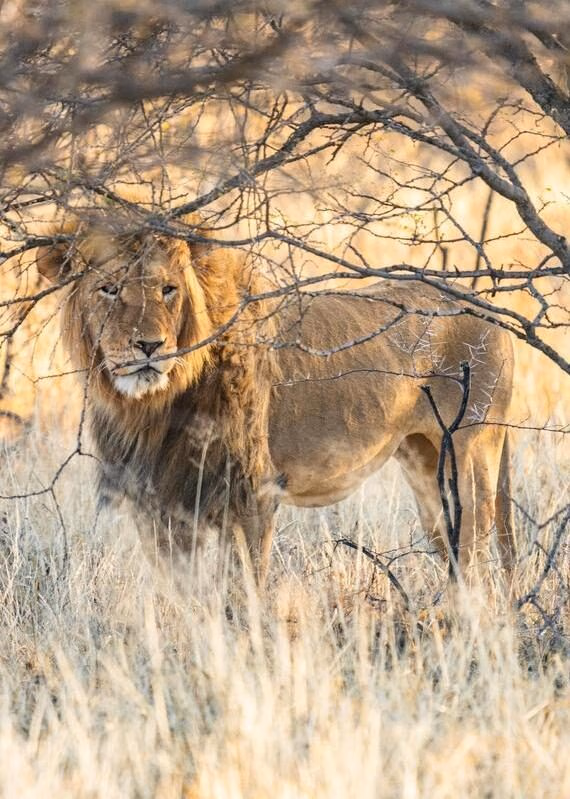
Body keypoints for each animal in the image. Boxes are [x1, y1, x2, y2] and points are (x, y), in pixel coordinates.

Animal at [36, 209, 516, 588]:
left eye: (168, 289)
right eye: (110, 289)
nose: (149, 346)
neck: (153, 405)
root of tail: (484, 304)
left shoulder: (251, 495)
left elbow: (243, 592)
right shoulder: (158, 505)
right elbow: (183, 594)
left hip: (473, 456)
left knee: (475, 558)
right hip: (426, 467)